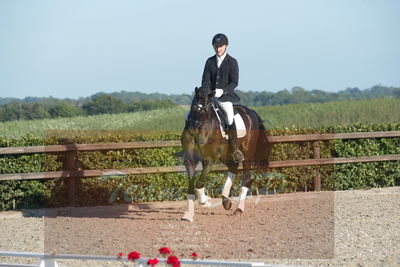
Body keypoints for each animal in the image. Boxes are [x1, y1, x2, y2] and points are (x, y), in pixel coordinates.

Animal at [181, 87, 272, 223]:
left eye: (205, 110)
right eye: (193, 107)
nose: (192, 131)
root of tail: (251, 112)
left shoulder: (209, 159)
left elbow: (199, 183)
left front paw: (205, 201)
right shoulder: (190, 161)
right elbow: (191, 185)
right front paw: (189, 215)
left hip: (247, 154)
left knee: (246, 179)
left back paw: (238, 209)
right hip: (226, 155)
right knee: (233, 167)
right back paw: (226, 201)